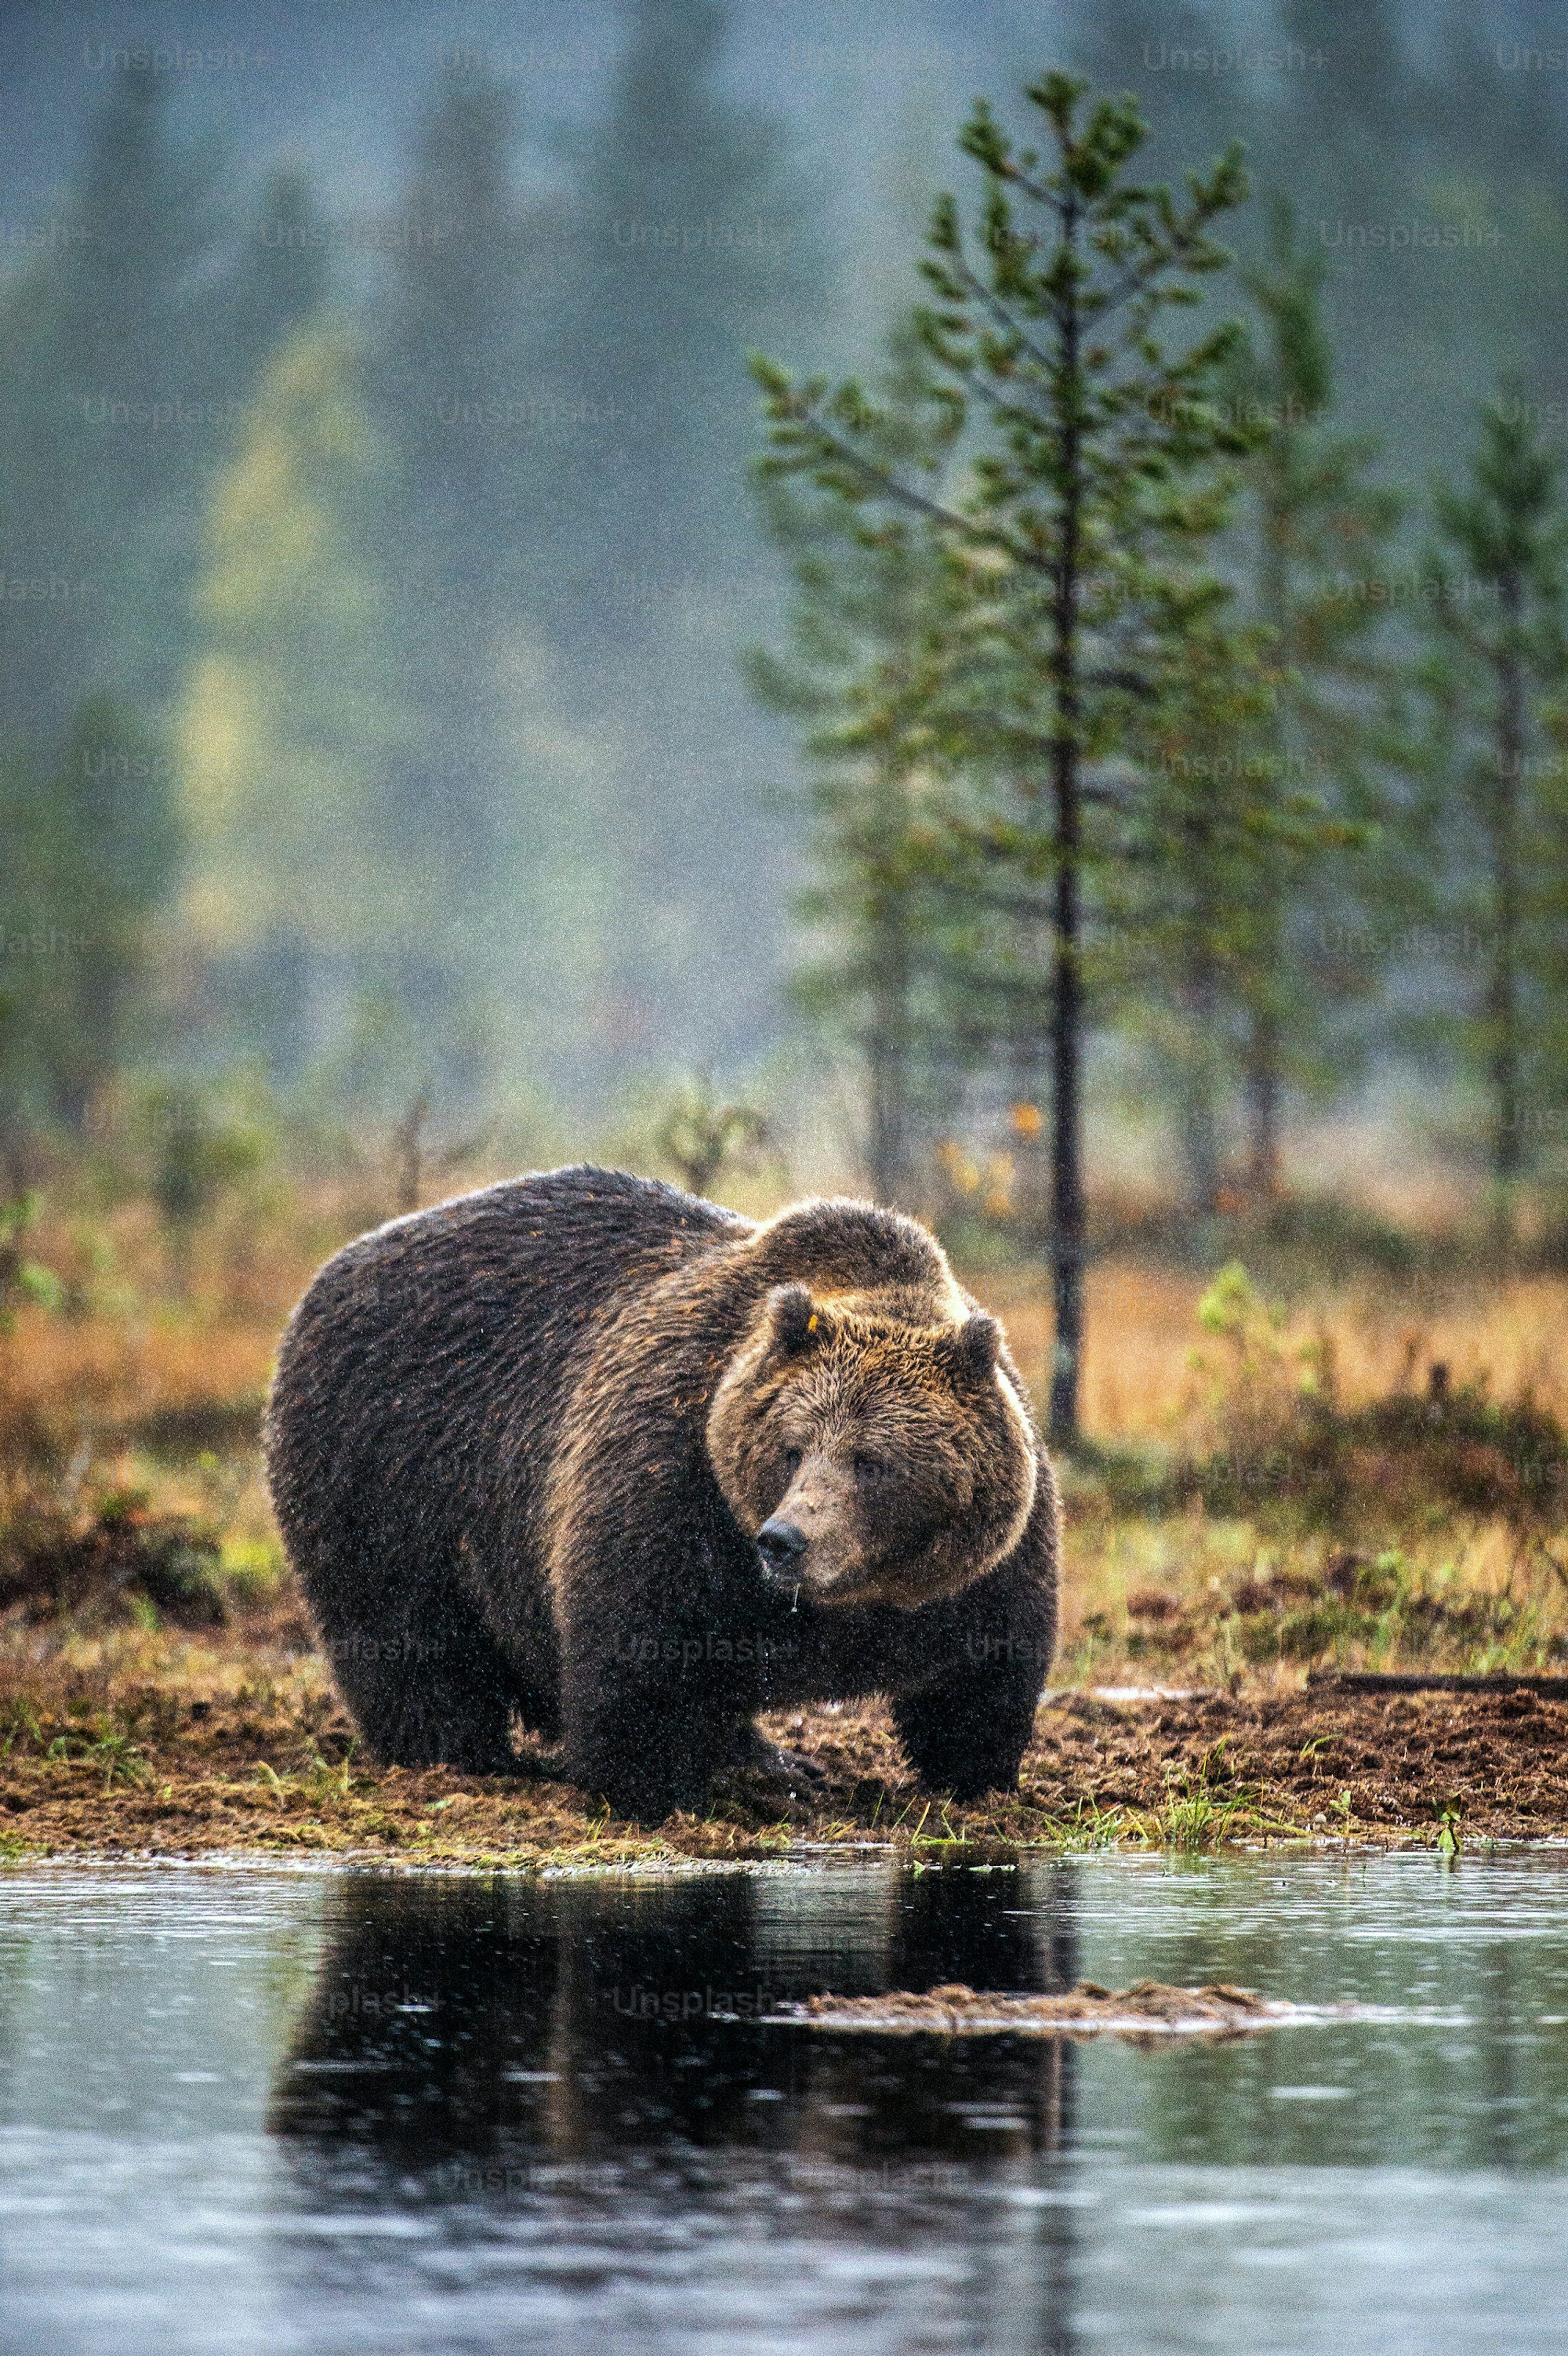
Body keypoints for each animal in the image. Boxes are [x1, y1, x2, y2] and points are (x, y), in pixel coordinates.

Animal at [264, 1165, 1059, 1823]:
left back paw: (772, 1758)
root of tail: (338, 1266)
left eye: (871, 1461)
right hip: (388, 1466)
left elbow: (983, 1682)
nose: (786, 1541)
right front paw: (653, 1793)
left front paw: (973, 1781)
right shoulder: (673, 1487)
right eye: (793, 1447)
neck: (855, 1601)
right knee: (408, 1639)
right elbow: (638, 1663)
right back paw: (461, 1759)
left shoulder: (986, 1570)